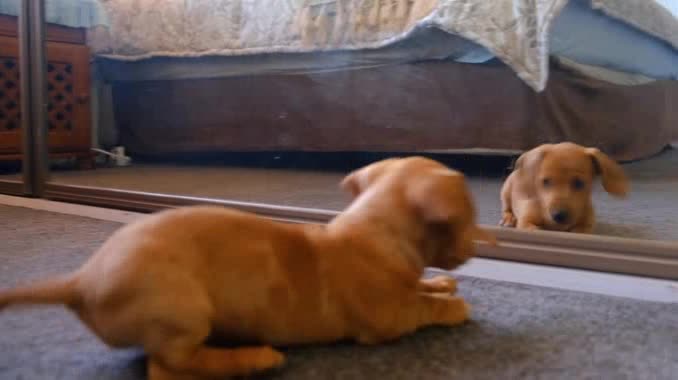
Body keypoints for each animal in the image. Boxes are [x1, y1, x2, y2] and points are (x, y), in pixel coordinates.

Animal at [0, 156, 494, 380]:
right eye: (468, 216)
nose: (478, 243)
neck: (376, 230)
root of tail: (80, 281)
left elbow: (421, 287)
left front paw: (440, 283)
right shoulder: (388, 320)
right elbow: (421, 309)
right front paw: (452, 306)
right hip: (184, 310)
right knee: (168, 368)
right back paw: (252, 358)